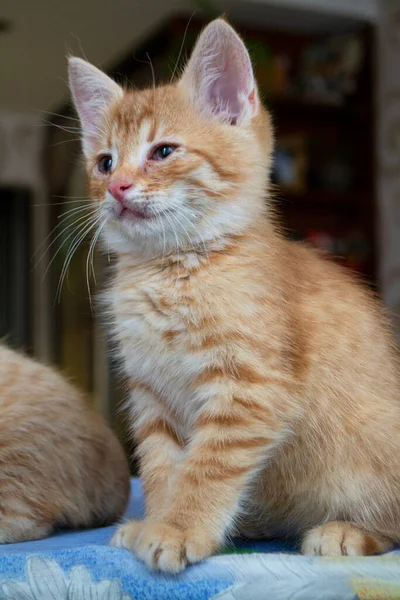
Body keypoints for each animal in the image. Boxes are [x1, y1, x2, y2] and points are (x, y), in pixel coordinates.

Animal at [68, 18, 400, 572]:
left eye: (163, 152)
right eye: (104, 162)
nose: (117, 187)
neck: (173, 269)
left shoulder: (249, 386)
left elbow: (208, 466)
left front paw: (178, 528)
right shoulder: (152, 396)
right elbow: (162, 466)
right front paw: (156, 520)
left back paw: (346, 532)